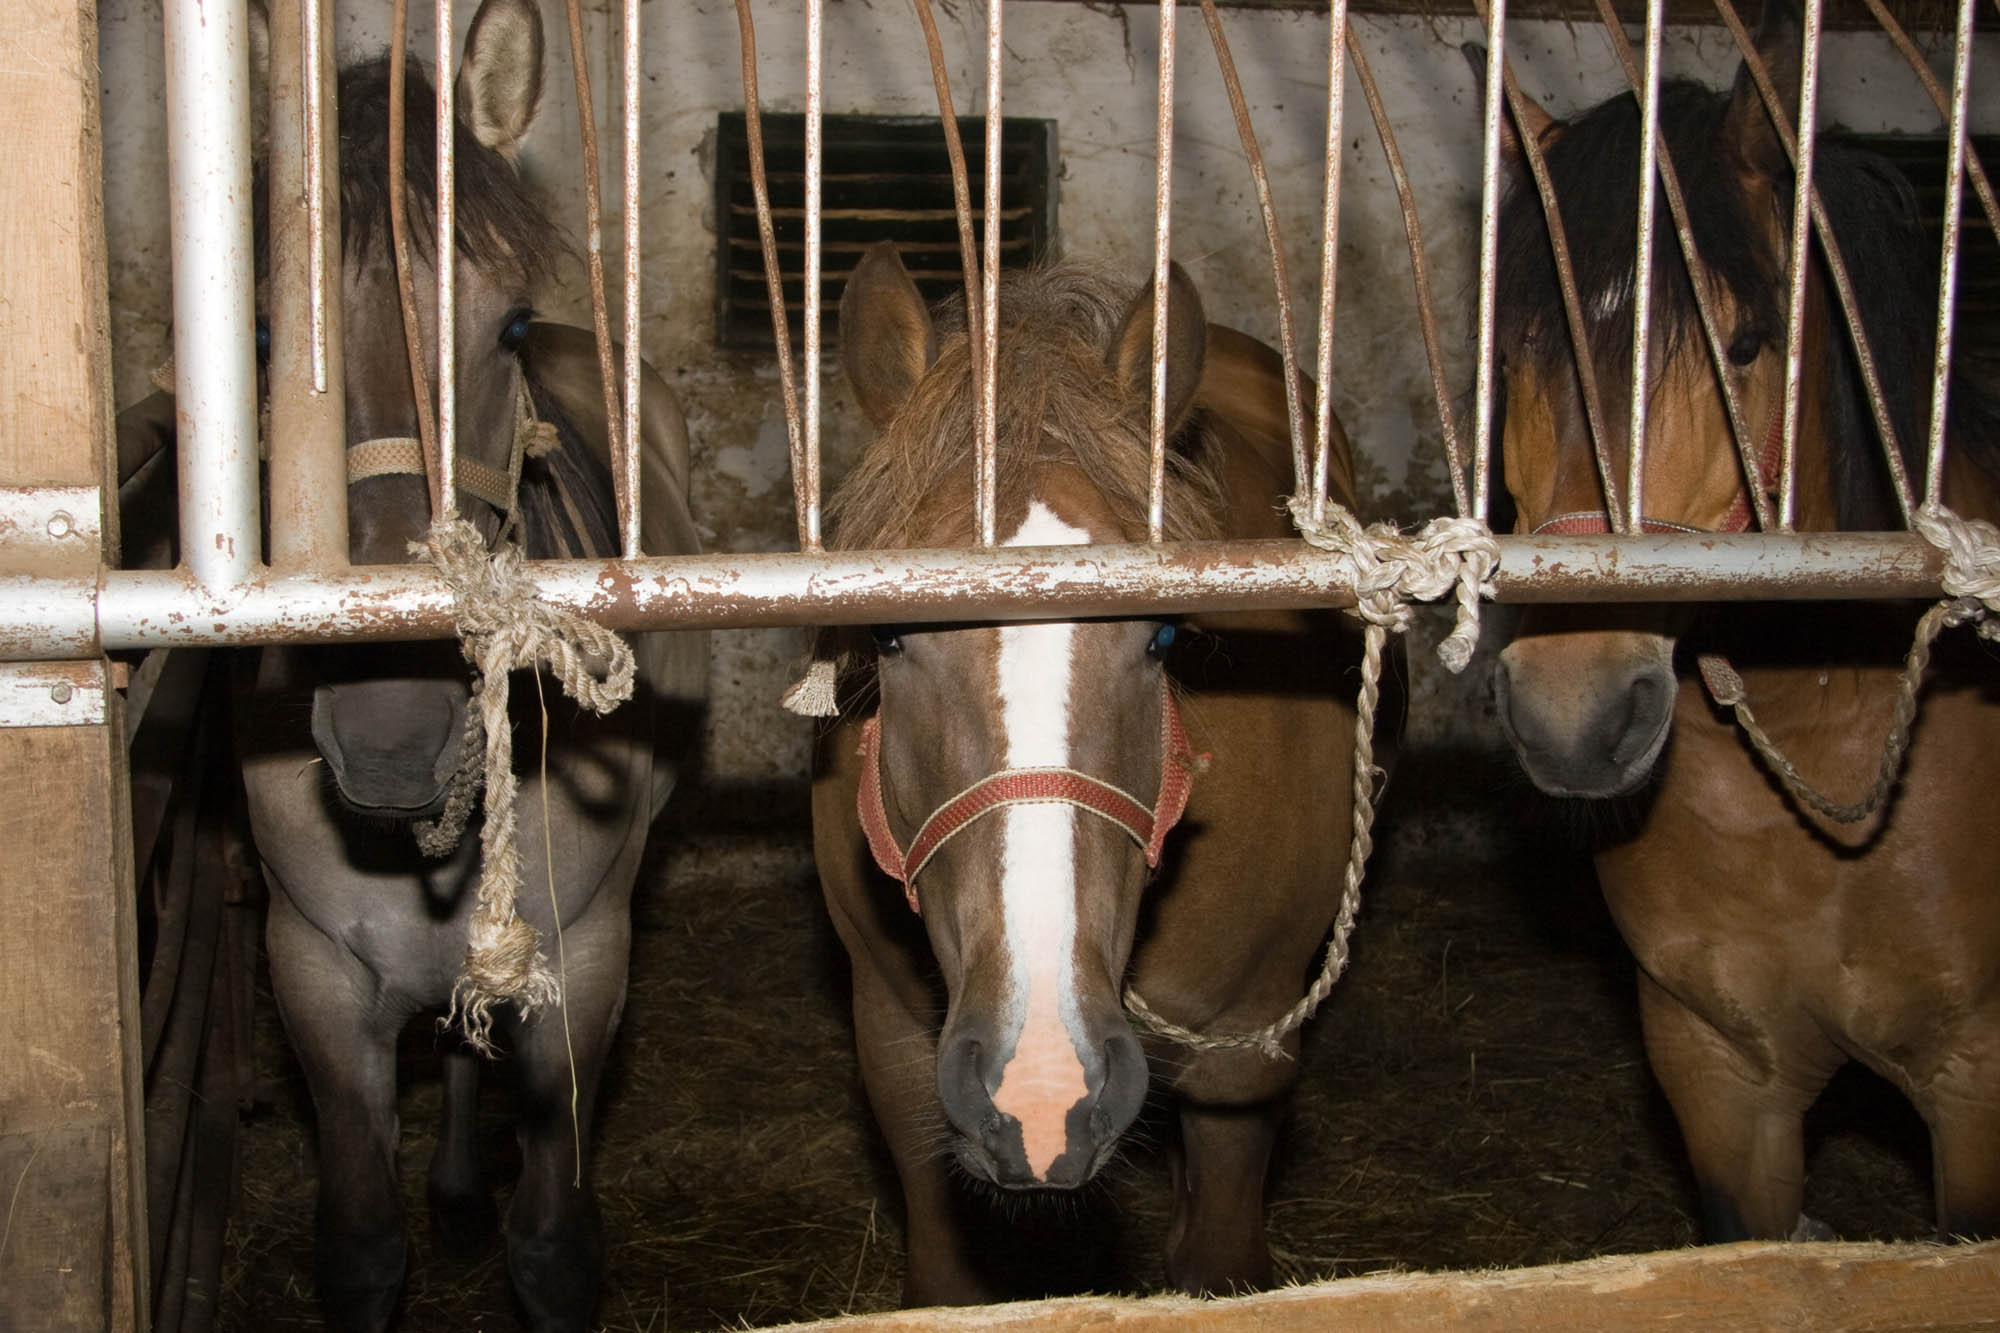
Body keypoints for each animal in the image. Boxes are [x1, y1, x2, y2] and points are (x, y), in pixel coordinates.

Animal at [232, 5, 712, 1320]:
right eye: (262, 335)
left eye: (501, 330)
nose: (391, 735)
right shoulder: (311, 976)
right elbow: (357, 1243)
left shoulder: (580, 965)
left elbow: (550, 1242)